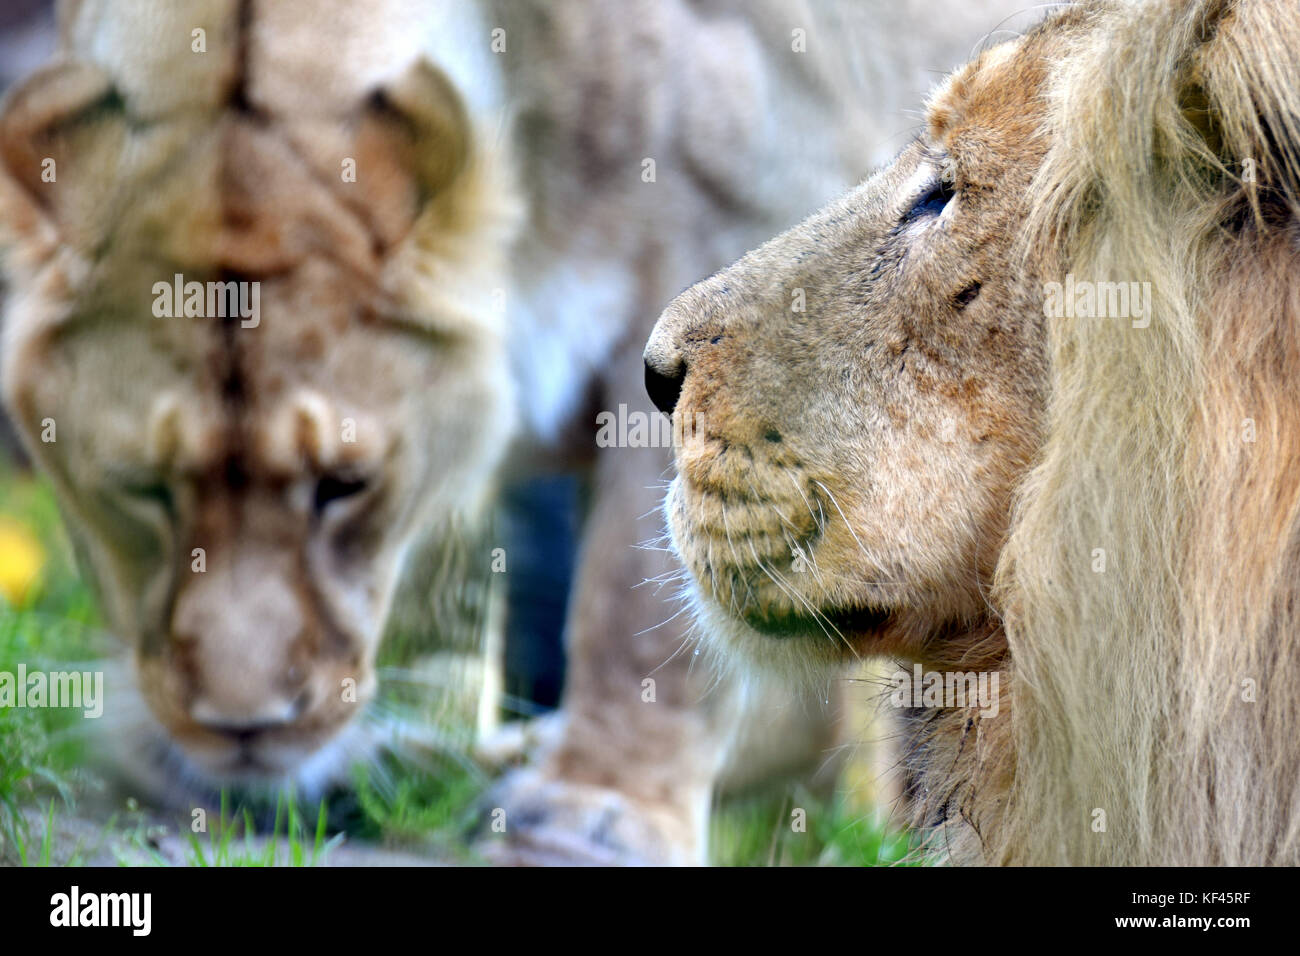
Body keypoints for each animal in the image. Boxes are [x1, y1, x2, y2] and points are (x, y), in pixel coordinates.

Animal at [0, 0, 1025, 863]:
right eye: (140, 490)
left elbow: (641, 612)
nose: (242, 733)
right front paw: (335, 763)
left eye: (345, 486)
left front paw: (598, 810)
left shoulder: (732, 231)